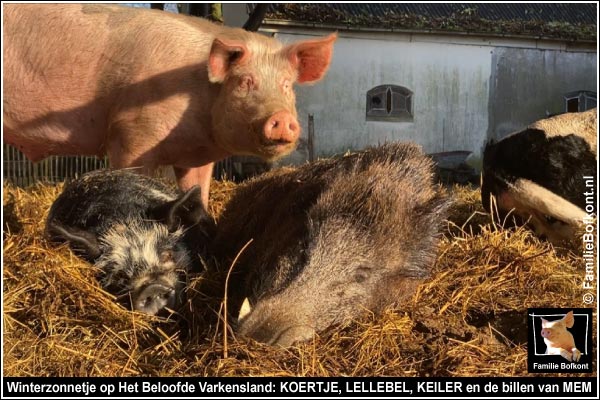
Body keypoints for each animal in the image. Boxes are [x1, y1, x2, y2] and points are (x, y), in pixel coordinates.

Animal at [2, 4, 336, 206]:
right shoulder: (130, 135)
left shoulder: (197, 158)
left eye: (287, 84)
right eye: (244, 82)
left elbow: (198, 195)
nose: (282, 118)